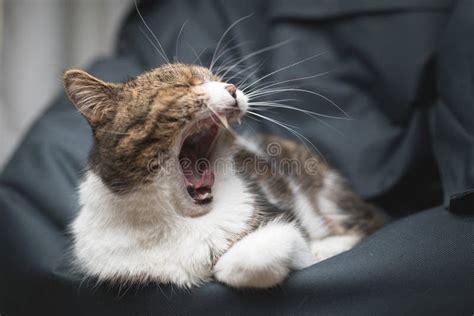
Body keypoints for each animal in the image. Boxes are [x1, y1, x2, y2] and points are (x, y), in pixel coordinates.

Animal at [63, 63, 384, 288]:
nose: (232, 88)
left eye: (216, 77)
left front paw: (222, 267)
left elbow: (256, 256)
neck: (177, 219)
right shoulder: (107, 262)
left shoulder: (282, 221)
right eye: (182, 84)